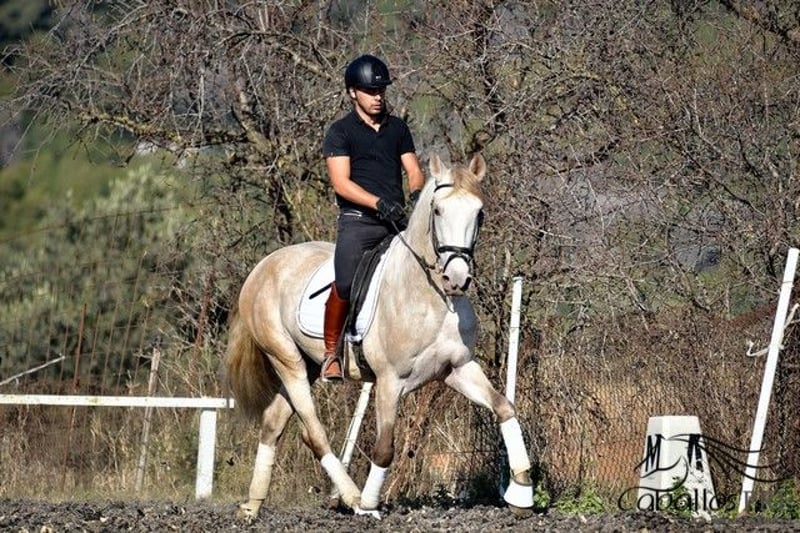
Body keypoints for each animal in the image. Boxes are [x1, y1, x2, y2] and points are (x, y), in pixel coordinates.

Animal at [225, 153, 534, 519]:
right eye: (438, 211)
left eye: (479, 213)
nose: (456, 279)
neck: (434, 298)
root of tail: (264, 266)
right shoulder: (390, 381)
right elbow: (385, 447)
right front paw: (371, 504)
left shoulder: (458, 369)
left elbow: (504, 407)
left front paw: (522, 492)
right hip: (287, 361)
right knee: (314, 433)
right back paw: (353, 498)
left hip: (307, 364)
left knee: (273, 423)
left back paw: (252, 505)